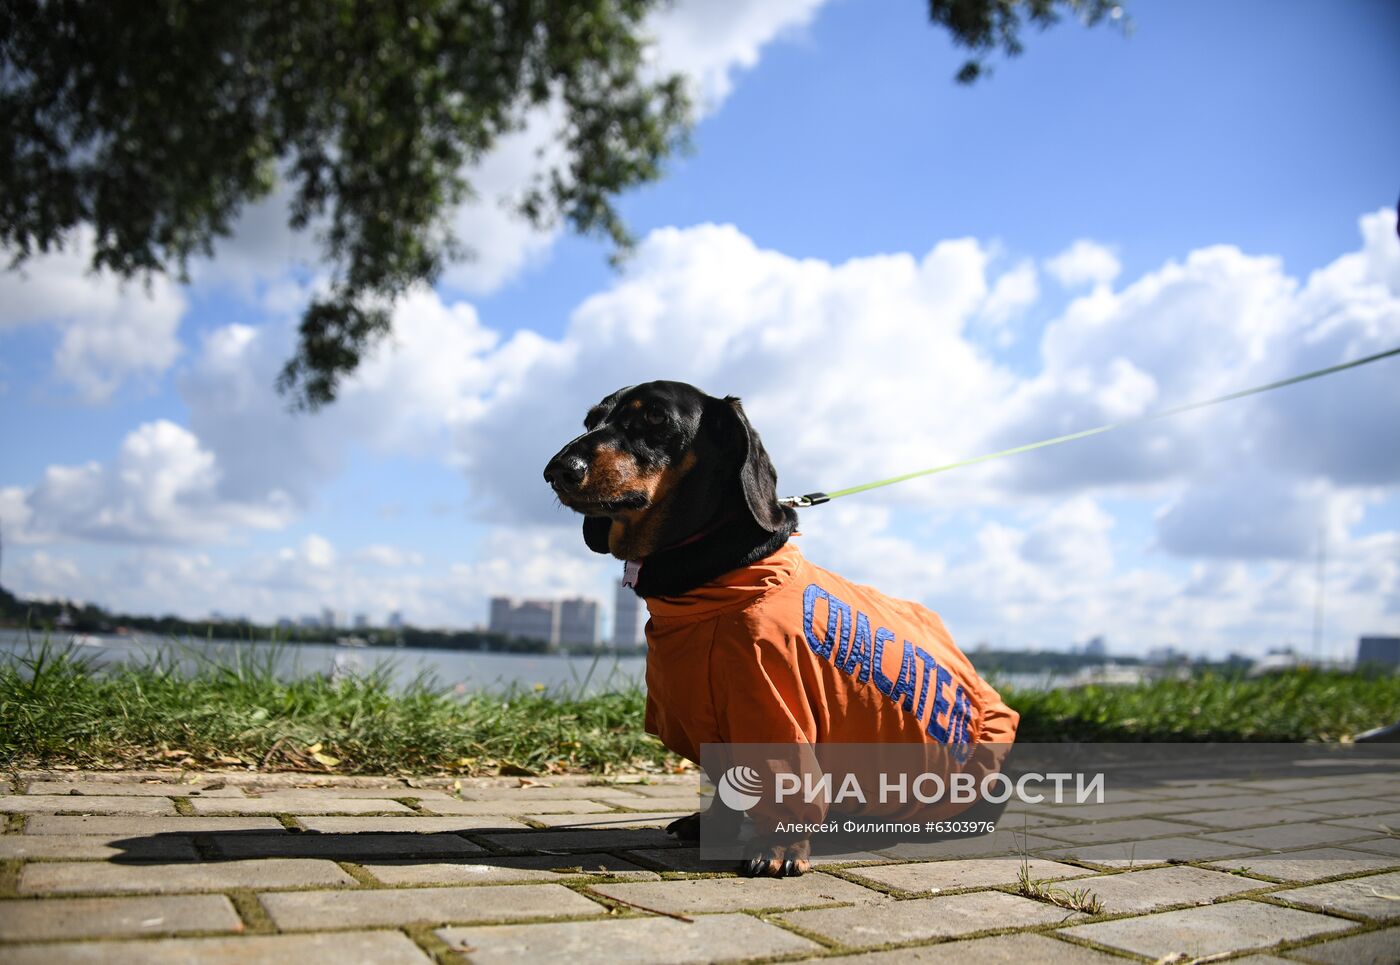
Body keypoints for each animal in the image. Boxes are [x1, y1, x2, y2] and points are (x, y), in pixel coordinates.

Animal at [537, 380, 1019, 873]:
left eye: (655, 417)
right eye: (591, 420)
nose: (557, 470)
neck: (721, 579)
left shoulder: (774, 704)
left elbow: (785, 774)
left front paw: (780, 845)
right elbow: (728, 779)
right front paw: (714, 823)